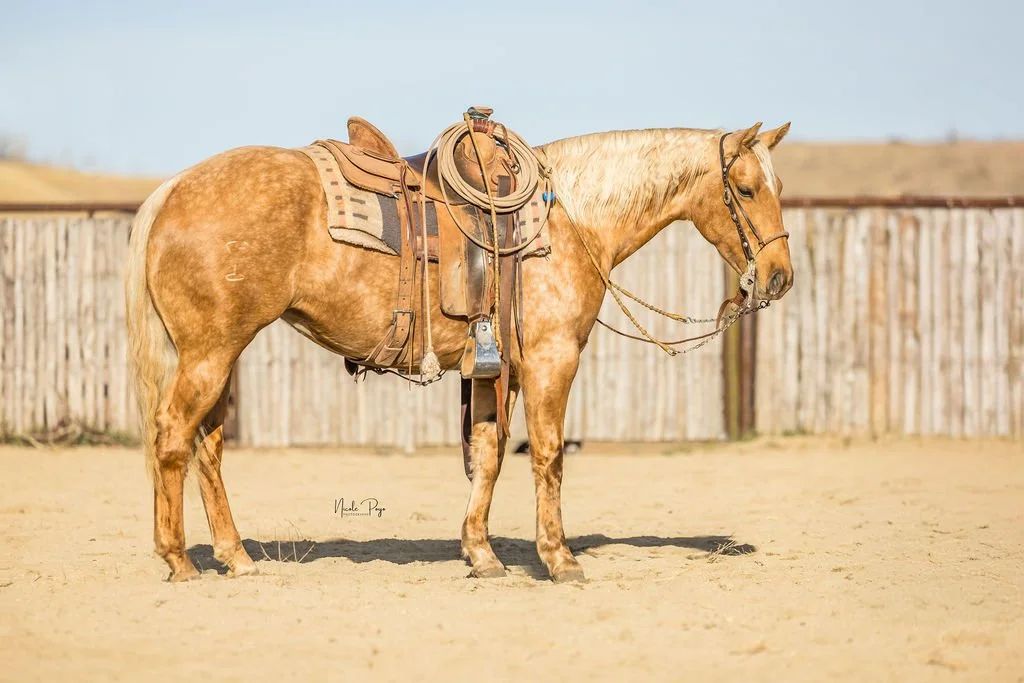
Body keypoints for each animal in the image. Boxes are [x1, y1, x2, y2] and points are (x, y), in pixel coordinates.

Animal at [125, 120, 794, 583]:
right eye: (745, 188)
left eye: (777, 185)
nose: (781, 276)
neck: (568, 219)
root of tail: (173, 189)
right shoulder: (552, 359)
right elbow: (547, 454)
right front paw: (559, 559)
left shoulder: (495, 370)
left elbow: (489, 452)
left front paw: (481, 553)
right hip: (210, 353)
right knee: (173, 436)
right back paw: (180, 560)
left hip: (219, 354)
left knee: (208, 447)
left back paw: (237, 557)